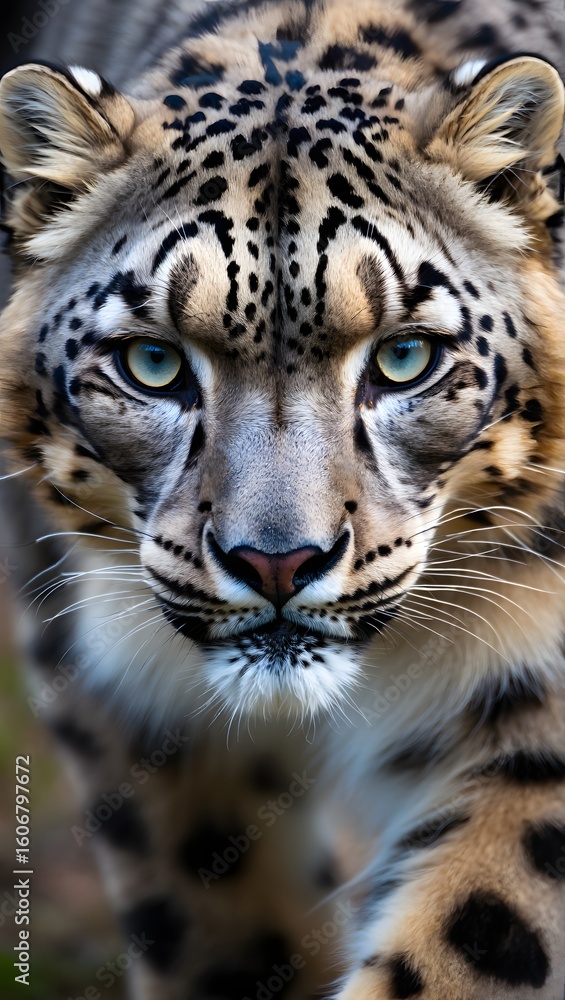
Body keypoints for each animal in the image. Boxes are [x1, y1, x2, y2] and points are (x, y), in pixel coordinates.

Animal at [1, 0, 565, 997]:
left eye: (404, 356)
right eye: (152, 363)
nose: (276, 561)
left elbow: (473, 931)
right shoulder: (126, 701)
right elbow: (215, 924)